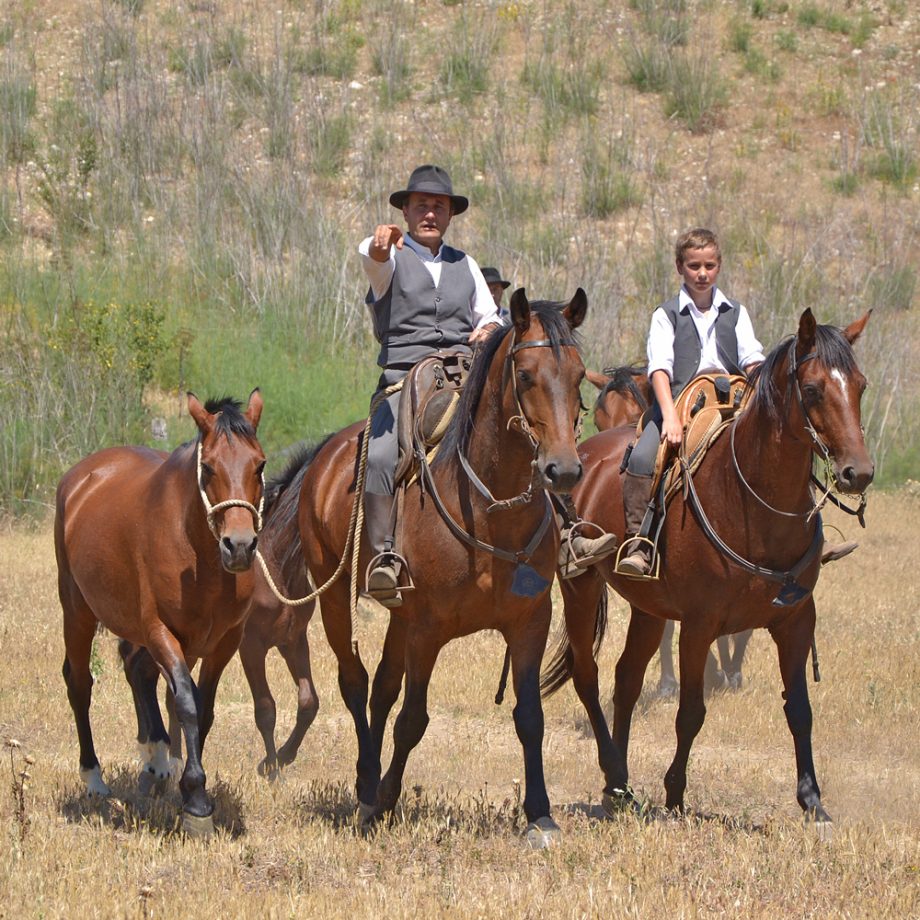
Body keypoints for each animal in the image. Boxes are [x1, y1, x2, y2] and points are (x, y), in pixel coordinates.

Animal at [300, 292, 588, 844]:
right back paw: (366, 786)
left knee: (380, 691)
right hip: (335, 599)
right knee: (355, 682)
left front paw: (540, 815)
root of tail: (325, 457)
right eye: (525, 375)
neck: (491, 511)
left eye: (580, 374)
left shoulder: (529, 623)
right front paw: (383, 801)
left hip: (398, 617)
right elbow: (413, 719)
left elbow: (530, 717)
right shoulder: (427, 630)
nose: (562, 470)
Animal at [544, 312, 872, 824]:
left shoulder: (797, 620)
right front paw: (676, 794)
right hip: (580, 587)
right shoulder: (699, 625)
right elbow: (691, 713)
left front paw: (813, 801)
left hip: (648, 609)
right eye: (813, 389)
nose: (858, 472)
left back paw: (619, 785)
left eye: (859, 385)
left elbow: (799, 709)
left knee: (626, 681)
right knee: (588, 676)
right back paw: (614, 775)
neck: (751, 499)